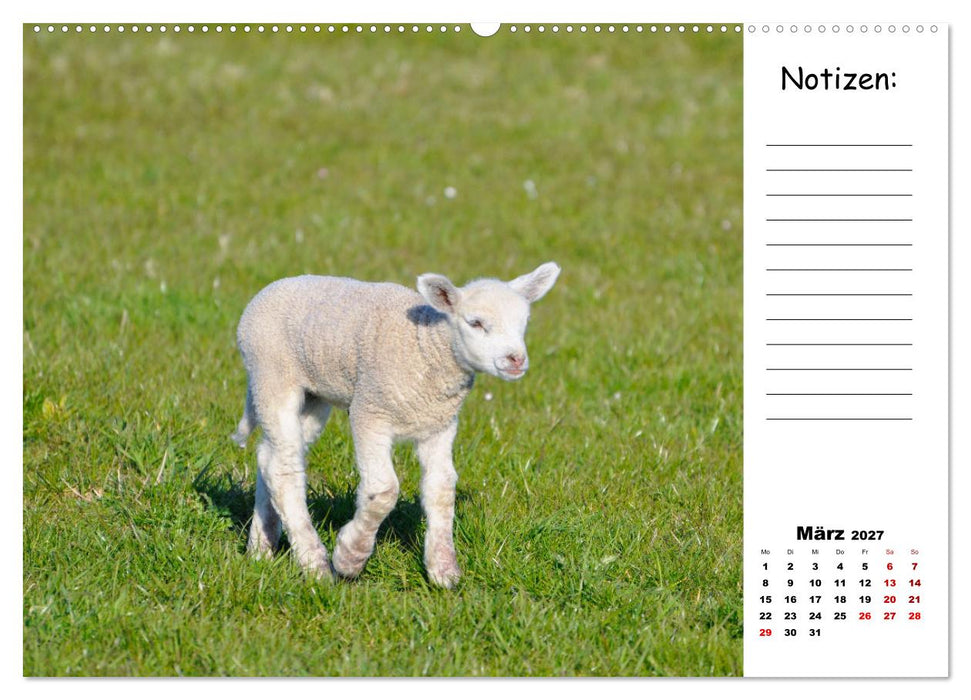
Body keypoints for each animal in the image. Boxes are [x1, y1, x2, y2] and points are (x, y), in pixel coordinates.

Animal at [232, 262, 561, 588]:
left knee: (270, 456)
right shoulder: (369, 411)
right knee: (283, 469)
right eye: (476, 323)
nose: (516, 360)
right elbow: (383, 490)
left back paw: (261, 548)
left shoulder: (439, 423)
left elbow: (441, 488)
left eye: (524, 323)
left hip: (314, 396)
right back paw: (316, 565)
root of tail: (268, 290)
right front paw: (350, 557)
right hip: (272, 375)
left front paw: (443, 569)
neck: (426, 346)